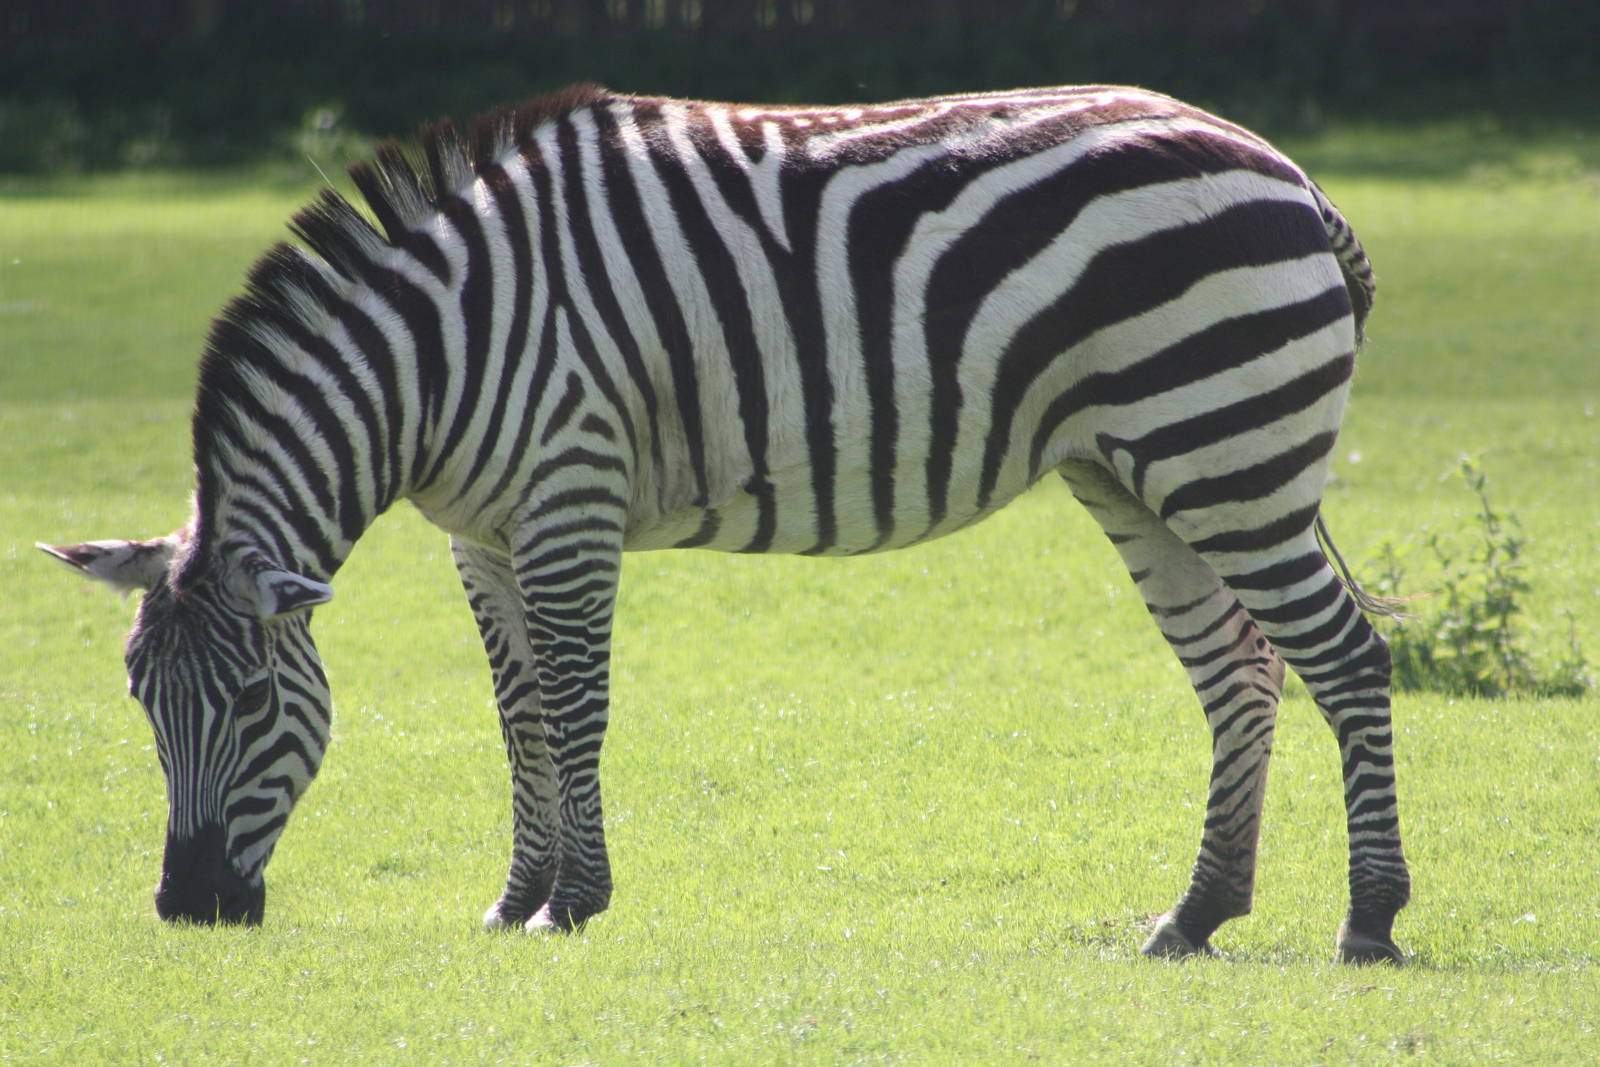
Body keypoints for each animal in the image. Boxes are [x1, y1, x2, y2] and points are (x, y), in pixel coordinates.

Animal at [42, 82, 1409, 963]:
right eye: (140, 702)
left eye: (252, 703)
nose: (189, 906)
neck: (436, 354)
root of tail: (1286, 170)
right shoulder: (480, 537)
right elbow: (517, 713)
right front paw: (515, 897)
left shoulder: (569, 495)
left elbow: (576, 702)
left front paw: (575, 901)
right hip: (1143, 469)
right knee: (1240, 673)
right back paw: (1193, 915)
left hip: (1226, 446)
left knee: (1346, 655)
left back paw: (1370, 919)